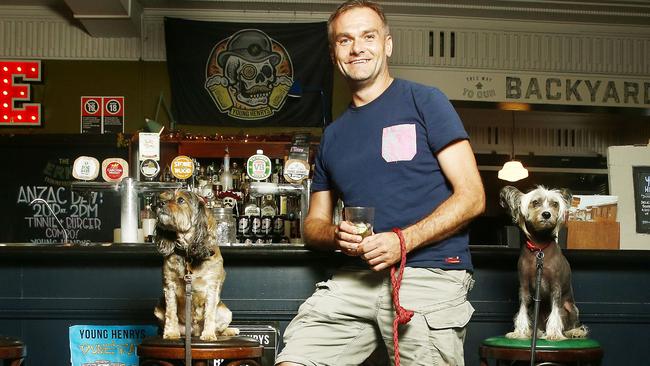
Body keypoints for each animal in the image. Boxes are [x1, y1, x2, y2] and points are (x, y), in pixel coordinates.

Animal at [154, 189, 238, 340]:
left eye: (181, 200)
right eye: (164, 198)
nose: (159, 203)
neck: (188, 253)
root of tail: (194, 332)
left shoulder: (212, 286)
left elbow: (209, 313)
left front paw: (209, 334)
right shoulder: (169, 285)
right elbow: (171, 312)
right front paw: (171, 332)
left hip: (226, 312)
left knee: (220, 328)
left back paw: (228, 331)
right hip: (158, 308)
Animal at [498, 186, 584, 340]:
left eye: (555, 204)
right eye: (535, 202)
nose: (546, 214)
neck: (539, 247)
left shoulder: (556, 286)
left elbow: (555, 311)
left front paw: (554, 333)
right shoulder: (524, 287)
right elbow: (522, 310)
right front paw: (519, 332)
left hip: (571, 307)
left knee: (570, 322)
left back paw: (574, 332)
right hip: (535, 310)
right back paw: (535, 331)